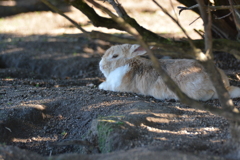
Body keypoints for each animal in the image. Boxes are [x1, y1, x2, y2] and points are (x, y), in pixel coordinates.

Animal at [98, 43, 240, 101]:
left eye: (115, 56)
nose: (101, 65)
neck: (129, 62)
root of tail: (225, 86)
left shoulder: (117, 85)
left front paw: (100, 86)